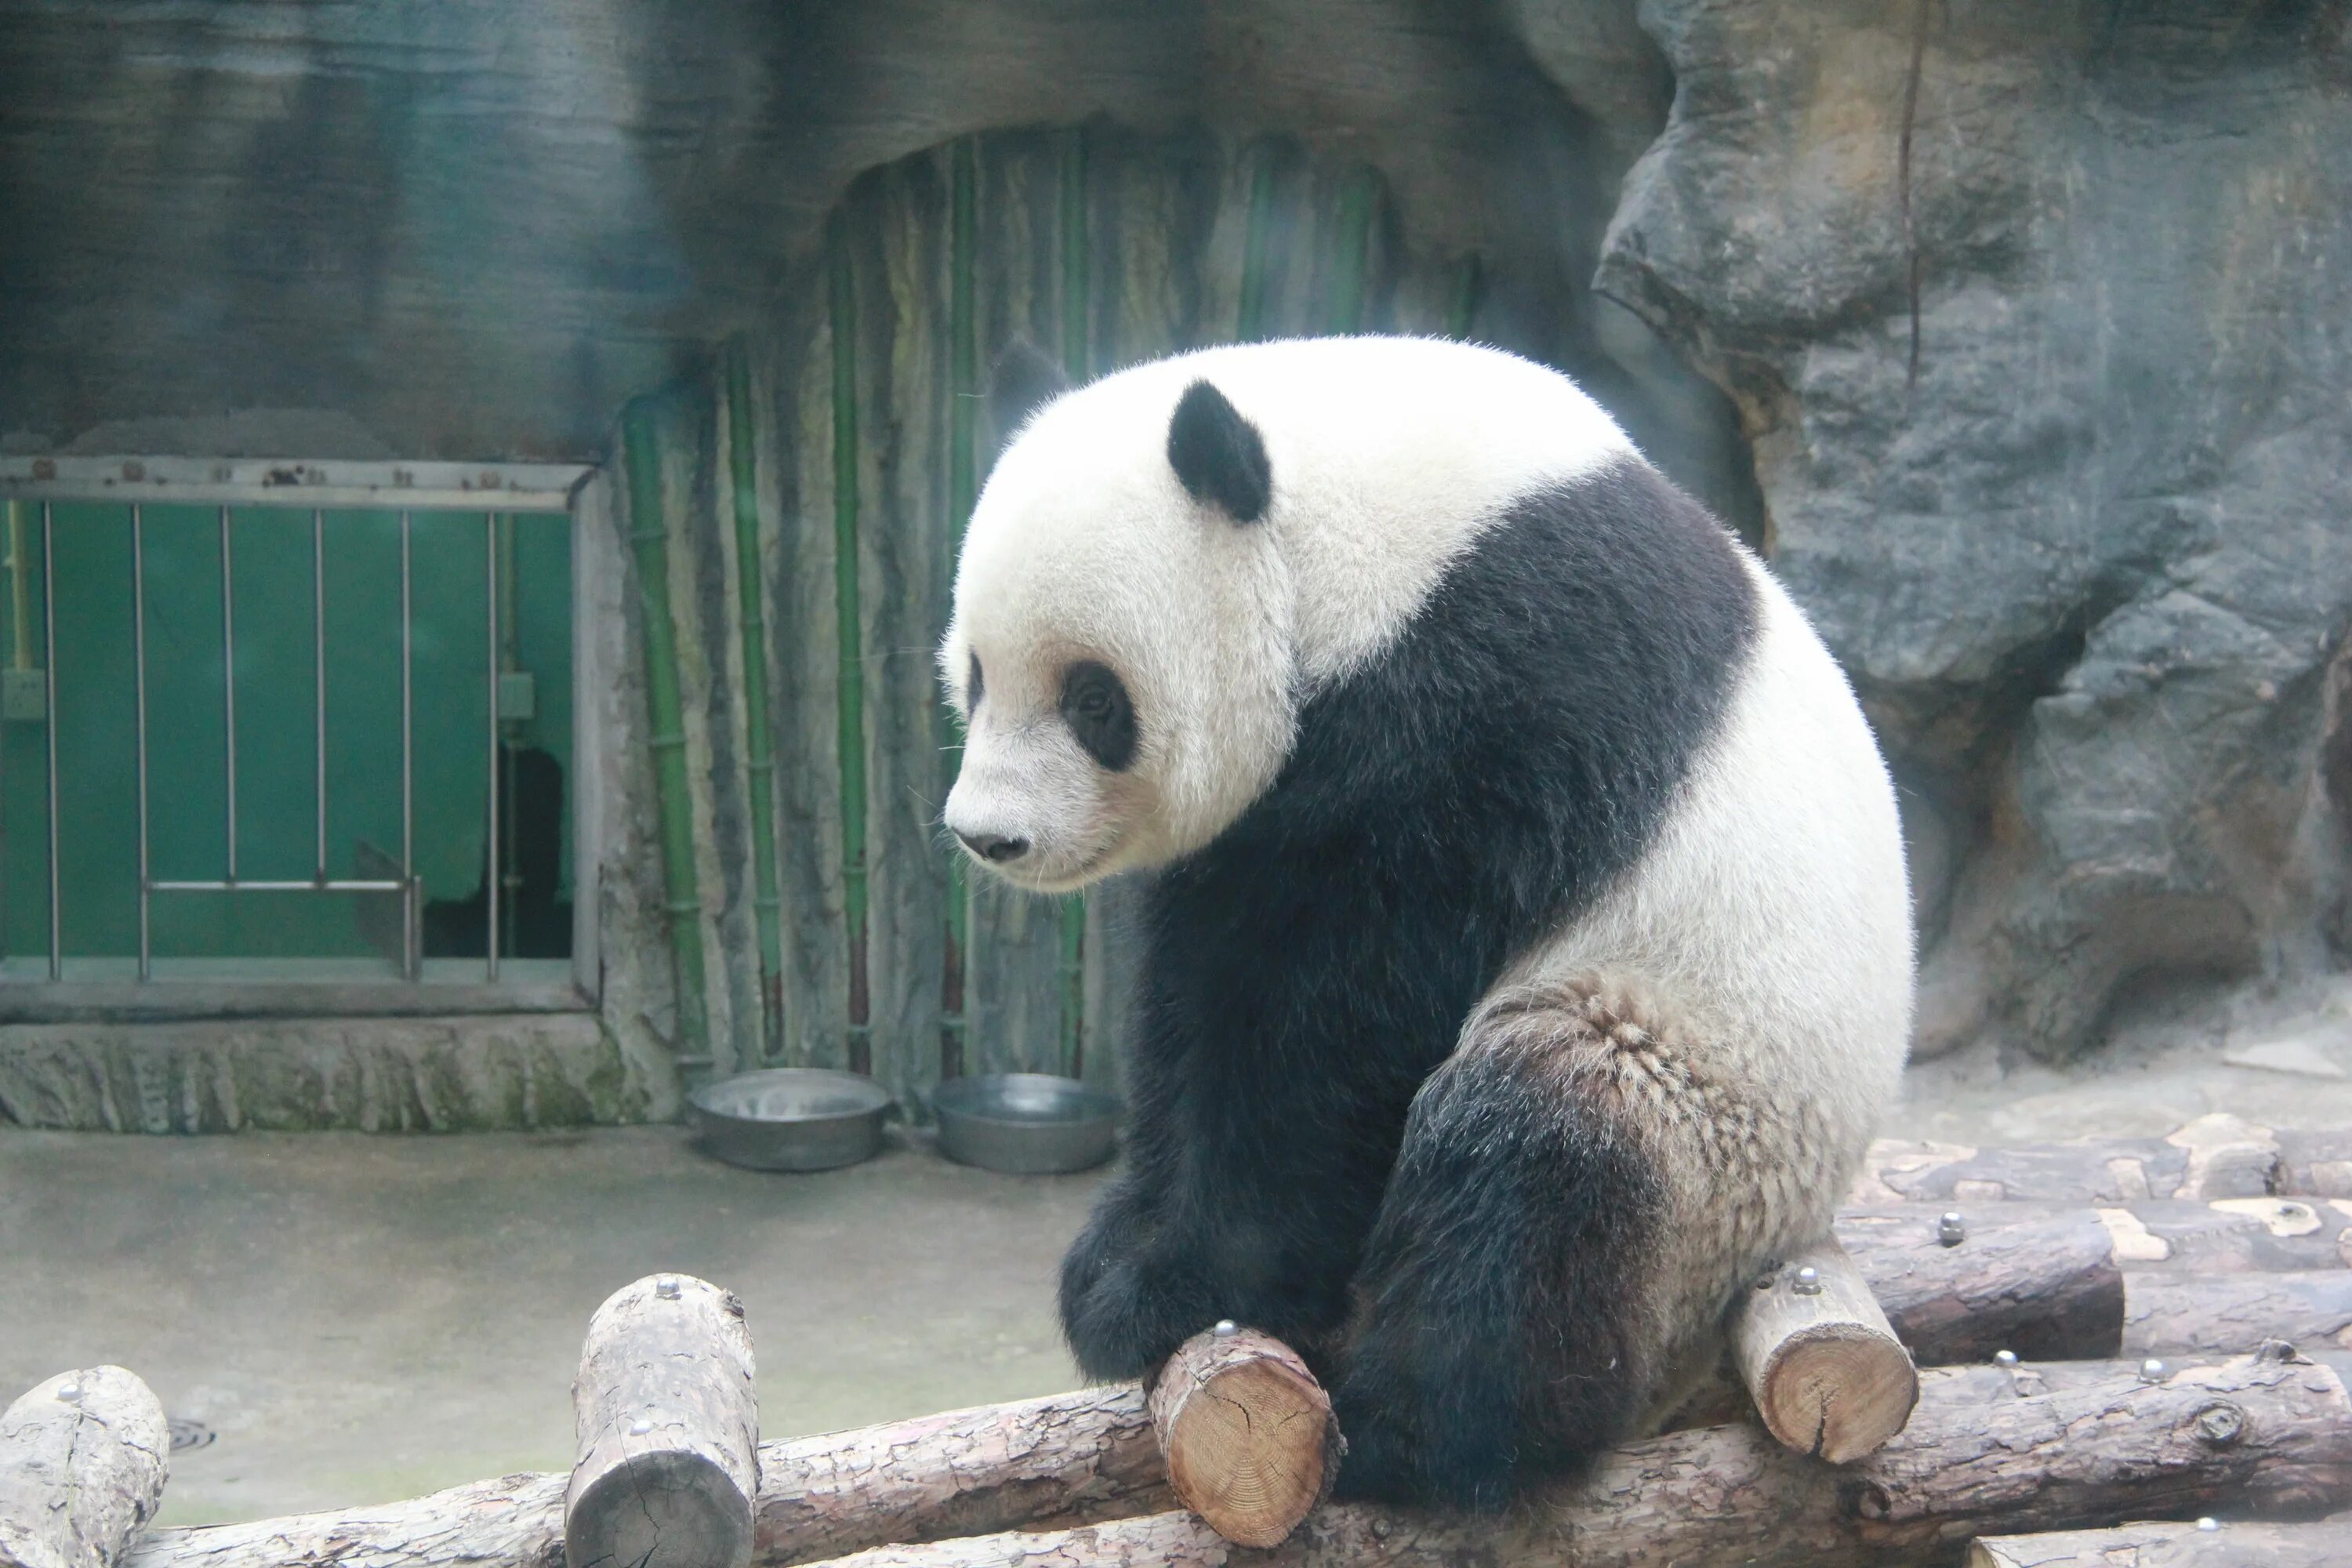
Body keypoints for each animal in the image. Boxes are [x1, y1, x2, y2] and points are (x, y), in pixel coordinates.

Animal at [931, 338, 1910, 1514]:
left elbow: (1329, 1013)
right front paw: (1126, 1251)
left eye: (1093, 700)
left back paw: (1415, 1434)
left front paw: (1160, 1283)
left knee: (1537, 1158)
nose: (990, 835)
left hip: (1706, 1116)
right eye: (975, 674)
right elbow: (1202, 989)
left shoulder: (1493, 698)